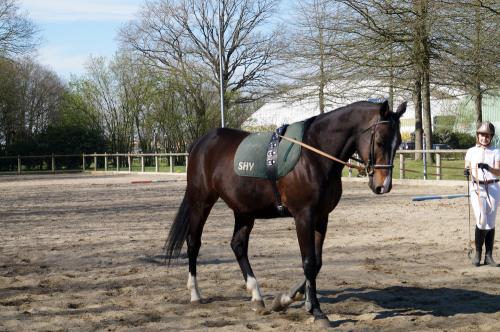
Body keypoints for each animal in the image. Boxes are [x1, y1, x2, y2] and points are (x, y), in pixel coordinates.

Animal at [166, 99, 408, 326]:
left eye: (398, 143)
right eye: (380, 141)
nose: (383, 186)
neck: (314, 154)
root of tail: (202, 142)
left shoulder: (322, 217)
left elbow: (317, 262)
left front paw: (289, 299)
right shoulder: (304, 216)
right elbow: (308, 261)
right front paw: (316, 310)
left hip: (244, 210)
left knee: (238, 246)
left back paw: (257, 296)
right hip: (201, 201)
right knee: (193, 242)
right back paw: (195, 293)